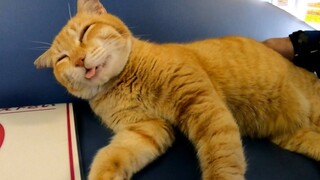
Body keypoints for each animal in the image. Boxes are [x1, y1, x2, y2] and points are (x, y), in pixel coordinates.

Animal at [33, 0, 320, 179]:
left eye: (85, 32)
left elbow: (223, 160)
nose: (79, 60)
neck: (123, 82)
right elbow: (114, 155)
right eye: (62, 59)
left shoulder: (202, 104)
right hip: (297, 137)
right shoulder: (145, 128)